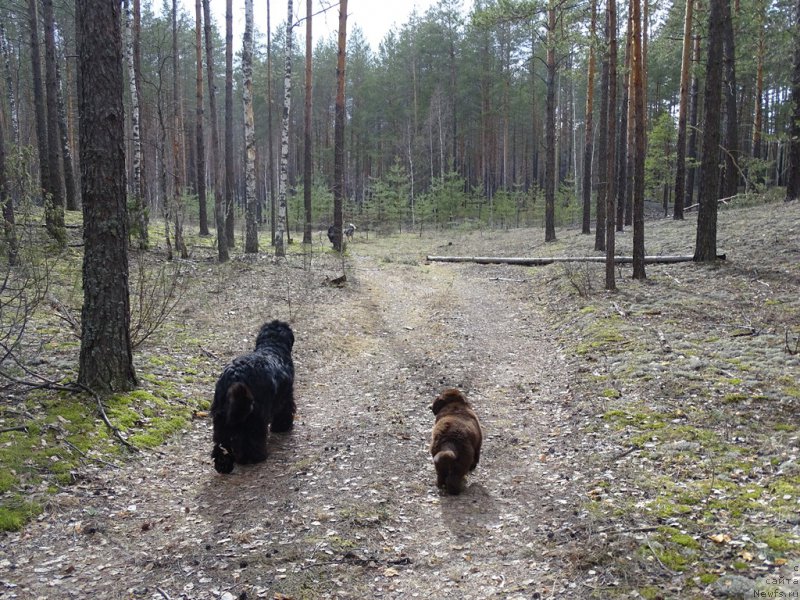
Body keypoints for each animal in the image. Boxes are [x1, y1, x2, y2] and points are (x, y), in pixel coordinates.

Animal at [211, 318, 296, 474]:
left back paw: (223, 464)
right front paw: (282, 426)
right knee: (252, 438)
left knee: (221, 443)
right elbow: (285, 411)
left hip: (222, 417)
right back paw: (254, 457)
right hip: (256, 415)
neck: (272, 346)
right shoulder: (286, 396)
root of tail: (235, 375)